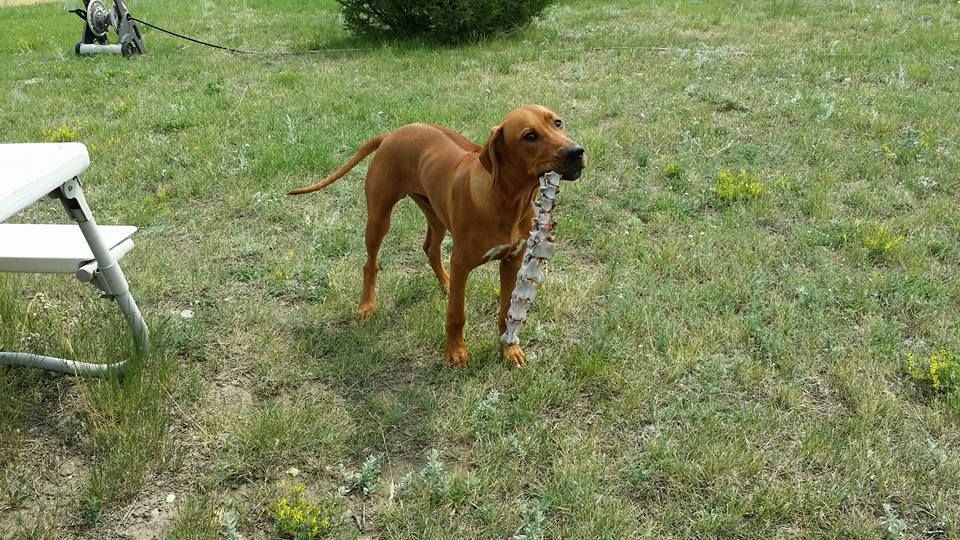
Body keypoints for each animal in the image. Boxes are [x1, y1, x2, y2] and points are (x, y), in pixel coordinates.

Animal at [288, 105, 585, 367]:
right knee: (370, 262)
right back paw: (367, 305)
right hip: (379, 216)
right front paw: (455, 353)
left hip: (435, 213)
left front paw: (509, 350)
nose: (577, 151)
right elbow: (456, 314)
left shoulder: (512, 261)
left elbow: (506, 311)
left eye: (558, 122)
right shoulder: (462, 262)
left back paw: (446, 284)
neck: (507, 200)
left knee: (430, 247)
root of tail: (391, 133)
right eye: (529, 136)